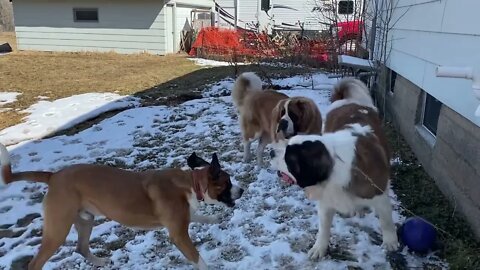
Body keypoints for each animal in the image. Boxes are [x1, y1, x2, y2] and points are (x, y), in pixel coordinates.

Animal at [0, 146, 244, 270]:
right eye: (227, 182)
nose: (241, 190)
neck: (191, 184)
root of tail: (53, 176)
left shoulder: (181, 220)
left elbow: (198, 216)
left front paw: (213, 220)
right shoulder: (178, 234)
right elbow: (197, 258)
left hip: (86, 219)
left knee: (81, 248)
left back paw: (102, 261)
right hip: (58, 230)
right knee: (35, 264)